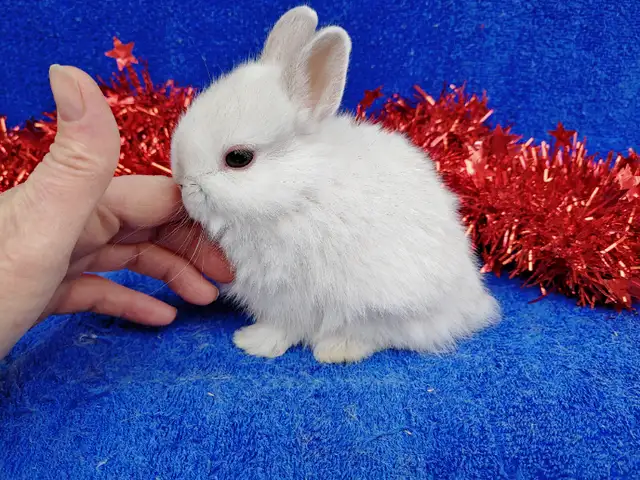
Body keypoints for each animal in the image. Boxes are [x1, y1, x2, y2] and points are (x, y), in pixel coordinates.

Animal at [170, 6, 500, 363]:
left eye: (238, 158)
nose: (183, 185)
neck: (299, 190)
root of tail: (469, 305)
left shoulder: (290, 294)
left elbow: (284, 325)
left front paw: (254, 343)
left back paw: (337, 350)